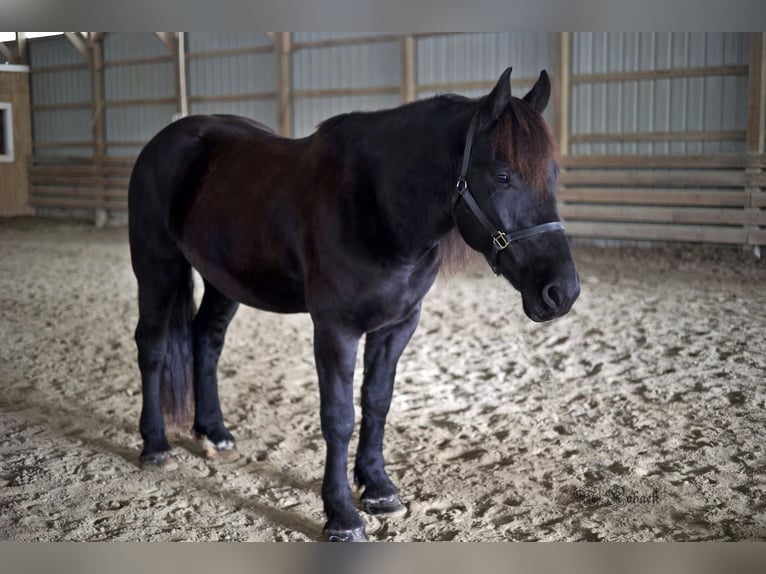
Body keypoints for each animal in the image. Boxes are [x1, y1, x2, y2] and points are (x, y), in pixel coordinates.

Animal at [127, 68, 584, 544]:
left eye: (552, 173)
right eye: (503, 176)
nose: (561, 291)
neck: (376, 207)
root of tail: (168, 139)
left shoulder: (397, 325)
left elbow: (377, 401)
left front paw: (379, 488)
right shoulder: (335, 329)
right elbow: (339, 416)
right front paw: (342, 515)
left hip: (224, 281)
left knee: (206, 341)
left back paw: (214, 435)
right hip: (157, 267)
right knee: (152, 347)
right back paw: (155, 445)